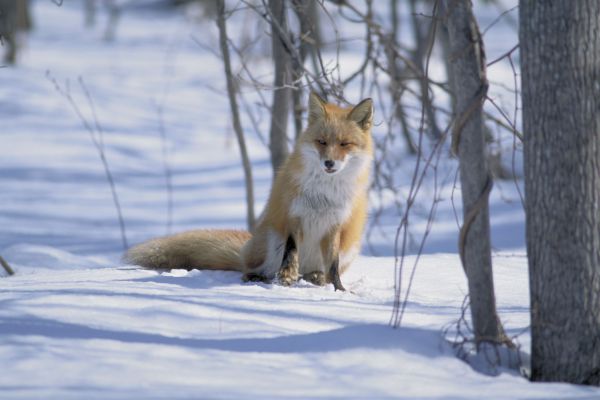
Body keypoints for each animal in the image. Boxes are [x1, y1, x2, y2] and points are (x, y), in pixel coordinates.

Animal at [124, 92, 372, 290]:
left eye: (344, 144)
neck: (323, 193)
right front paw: (286, 277)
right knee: (256, 269)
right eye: (321, 142)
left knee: (317, 272)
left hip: (349, 248)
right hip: (270, 239)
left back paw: (315, 277)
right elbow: (291, 251)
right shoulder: (292, 216)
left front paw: (340, 291)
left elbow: (333, 266)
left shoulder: (336, 225)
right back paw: (260, 277)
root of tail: (246, 247)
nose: (329, 163)